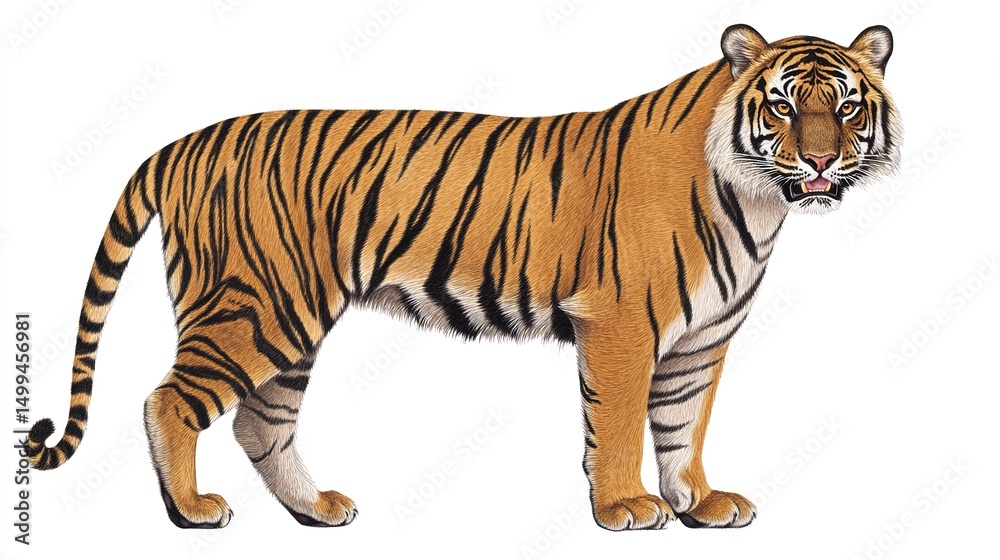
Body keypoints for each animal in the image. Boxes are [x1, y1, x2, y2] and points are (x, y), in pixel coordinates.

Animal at [26, 24, 900, 531]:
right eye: (783, 107)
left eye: (847, 108)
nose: (820, 162)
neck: (756, 199)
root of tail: (185, 141)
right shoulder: (622, 325)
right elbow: (619, 425)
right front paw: (625, 506)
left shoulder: (699, 342)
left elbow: (684, 427)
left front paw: (700, 504)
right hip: (254, 308)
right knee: (169, 401)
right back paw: (192, 511)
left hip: (290, 323)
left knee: (258, 423)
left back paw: (318, 509)